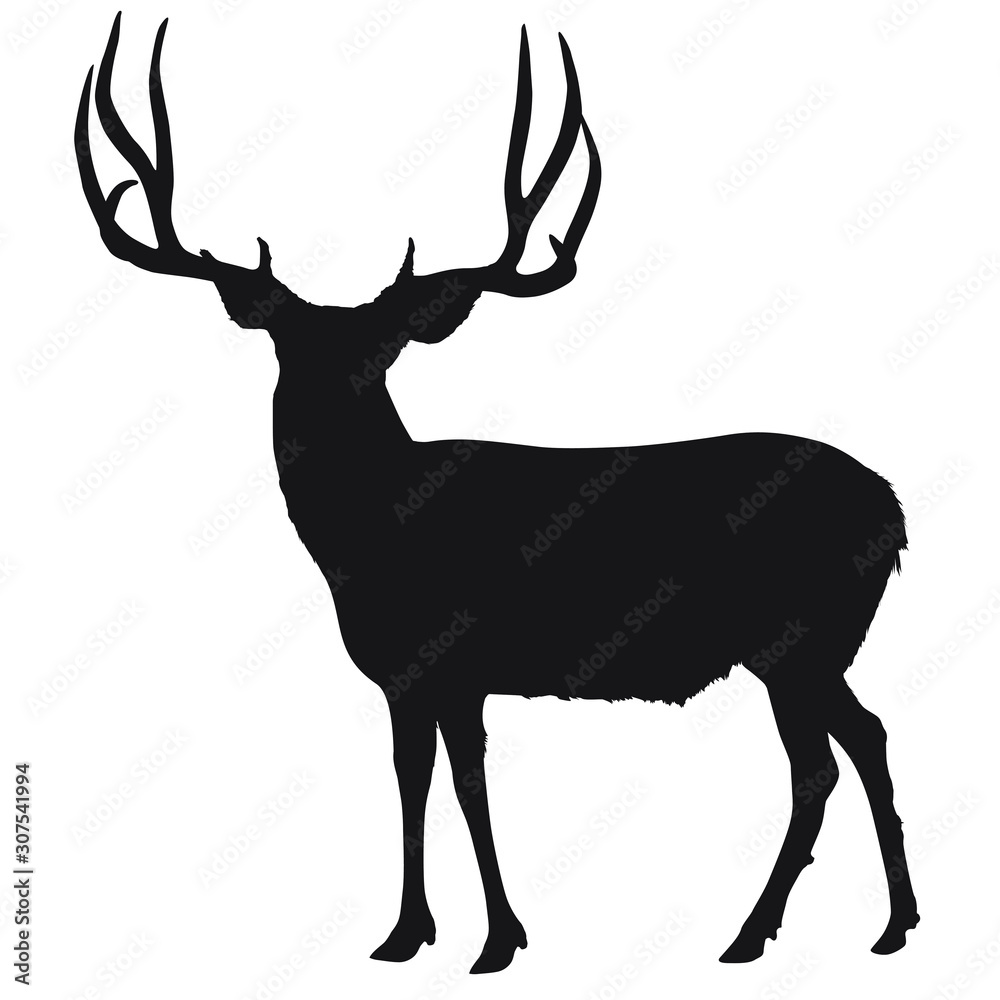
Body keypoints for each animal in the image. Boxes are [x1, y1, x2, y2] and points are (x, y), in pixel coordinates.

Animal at [76, 13, 919, 975]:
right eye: (290, 343)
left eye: (384, 348)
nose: (325, 407)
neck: (368, 545)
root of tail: (894, 510)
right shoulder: (413, 673)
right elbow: (422, 779)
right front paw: (415, 933)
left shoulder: (456, 658)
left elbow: (463, 781)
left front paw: (487, 939)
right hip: (814, 646)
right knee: (865, 737)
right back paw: (888, 925)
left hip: (797, 637)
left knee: (821, 762)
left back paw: (753, 934)